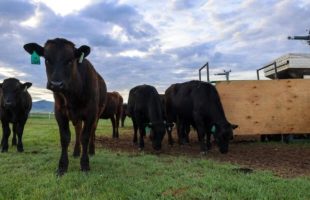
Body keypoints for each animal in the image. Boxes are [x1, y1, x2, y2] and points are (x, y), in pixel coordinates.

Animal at [23, 38, 107, 175]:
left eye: (70, 60)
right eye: (47, 59)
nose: (56, 84)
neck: (72, 95)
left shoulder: (91, 114)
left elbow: (85, 137)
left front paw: (85, 165)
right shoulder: (59, 113)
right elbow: (65, 138)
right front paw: (62, 166)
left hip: (97, 114)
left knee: (92, 131)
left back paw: (91, 151)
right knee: (78, 130)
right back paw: (76, 152)